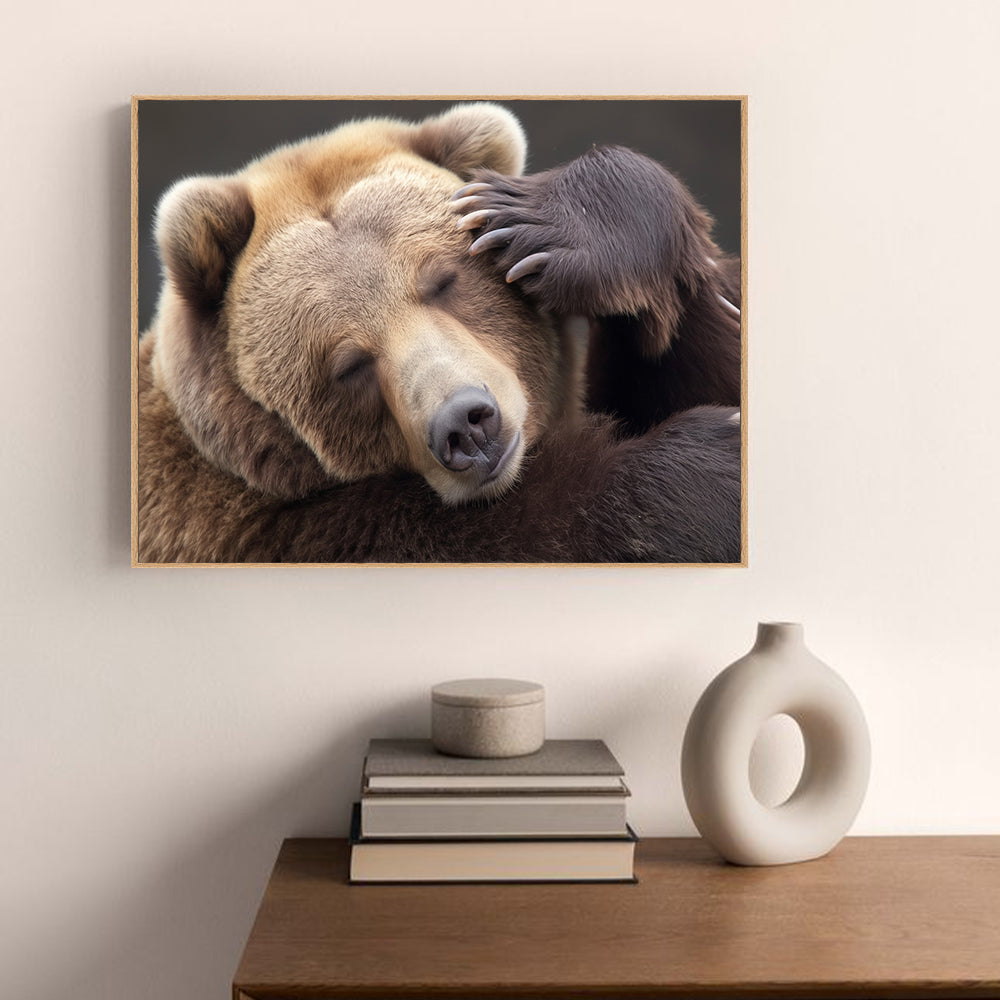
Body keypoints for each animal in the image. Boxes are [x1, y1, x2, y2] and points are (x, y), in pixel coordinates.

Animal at [136, 102, 742, 564]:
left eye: (443, 281)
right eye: (347, 364)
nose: (466, 423)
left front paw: (537, 221)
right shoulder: (276, 532)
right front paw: (710, 463)